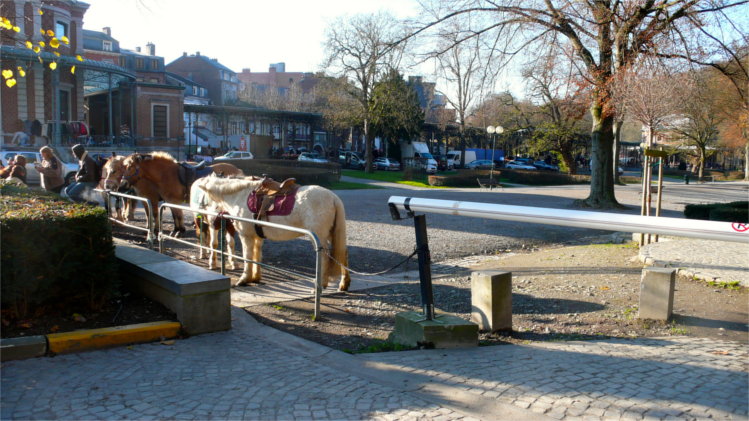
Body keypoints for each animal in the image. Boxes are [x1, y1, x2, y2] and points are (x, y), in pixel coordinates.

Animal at [197, 172, 352, 290]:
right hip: (331, 234)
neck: (239, 195)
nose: (205, 217)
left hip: (319, 237)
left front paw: (244, 279)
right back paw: (344, 284)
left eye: (203, 195)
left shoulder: (246, 236)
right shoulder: (257, 237)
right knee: (342, 253)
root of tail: (333, 198)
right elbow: (256, 256)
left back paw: (321, 285)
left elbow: (248, 257)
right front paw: (255, 277)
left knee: (325, 257)